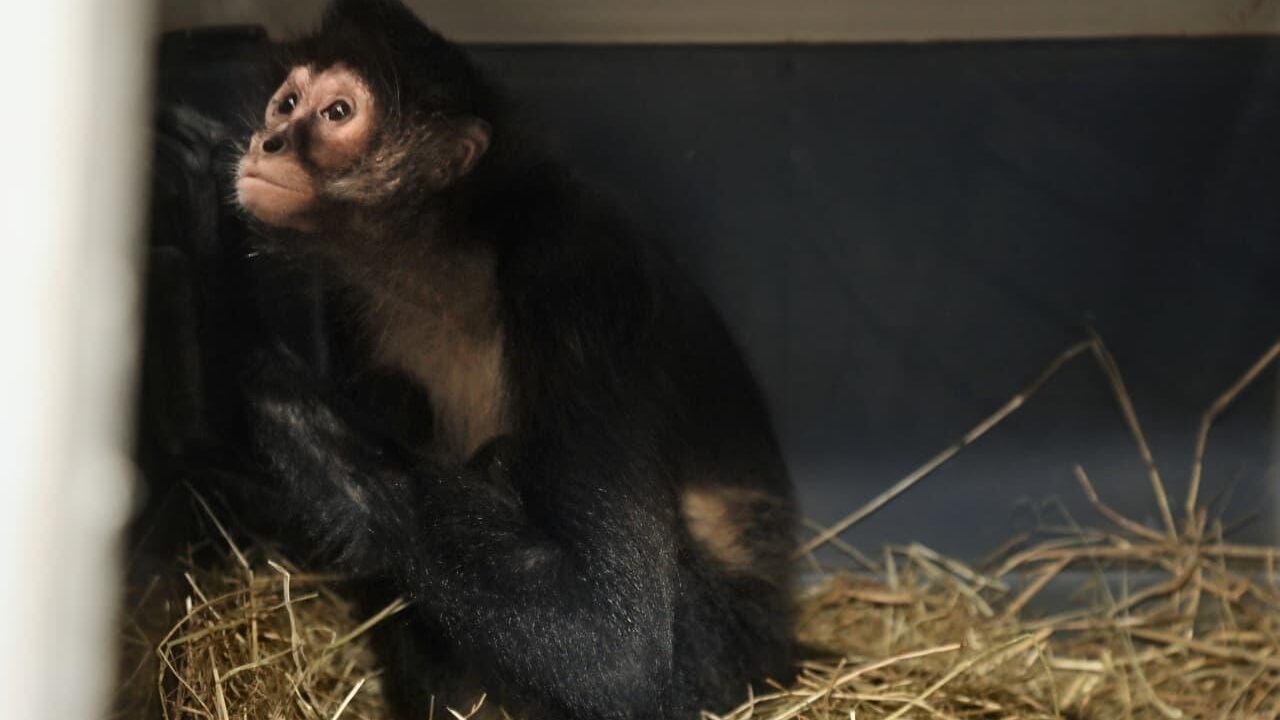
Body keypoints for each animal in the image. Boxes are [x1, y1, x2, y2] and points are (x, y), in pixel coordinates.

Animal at [228, 1, 796, 717]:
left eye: (335, 113)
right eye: (286, 104)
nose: (268, 141)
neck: (442, 263)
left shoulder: (577, 273)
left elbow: (616, 647)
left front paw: (272, 395)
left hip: (724, 654)